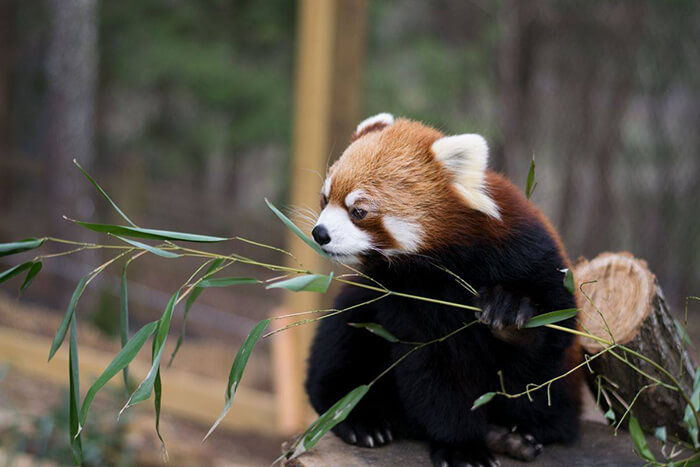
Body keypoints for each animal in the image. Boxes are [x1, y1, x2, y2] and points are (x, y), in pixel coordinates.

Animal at [306, 114, 584, 467]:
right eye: (324, 199)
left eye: (359, 211)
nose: (319, 233)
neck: (445, 261)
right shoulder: (407, 297)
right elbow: (437, 368)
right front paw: (461, 446)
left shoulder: (530, 252)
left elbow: (551, 338)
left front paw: (510, 314)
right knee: (343, 335)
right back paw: (359, 418)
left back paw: (511, 437)